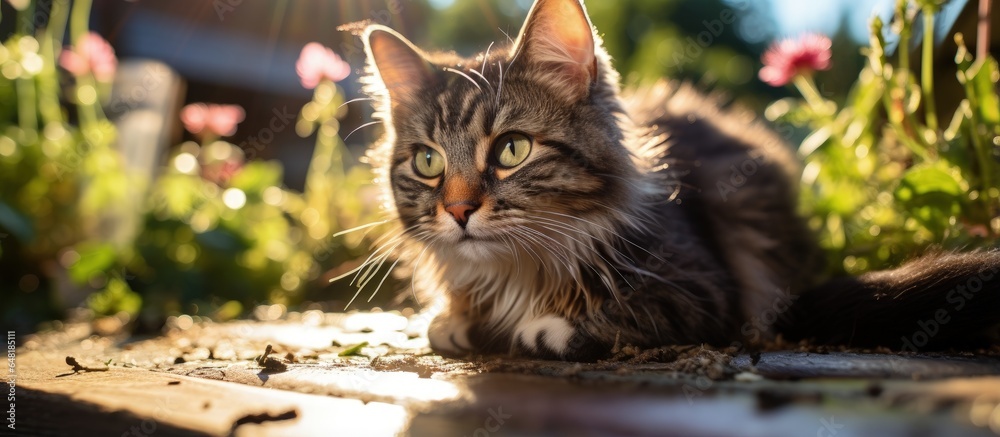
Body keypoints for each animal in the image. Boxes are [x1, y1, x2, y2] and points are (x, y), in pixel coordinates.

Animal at [358, 0, 1000, 360]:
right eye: (428, 163)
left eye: (512, 149)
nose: (458, 211)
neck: (516, 270)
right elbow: (447, 325)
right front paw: (459, 321)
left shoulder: (705, 288)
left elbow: (624, 315)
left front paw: (542, 328)